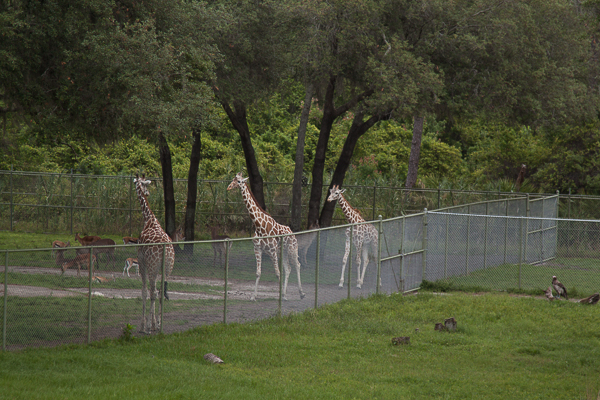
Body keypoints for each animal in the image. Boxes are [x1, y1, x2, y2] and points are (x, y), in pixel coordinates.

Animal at [134, 173, 176, 332]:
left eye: (141, 183)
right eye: (145, 185)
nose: (147, 193)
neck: (149, 219)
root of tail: (165, 250)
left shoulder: (141, 261)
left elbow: (144, 291)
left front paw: (143, 324)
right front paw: (154, 322)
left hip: (152, 266)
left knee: (153, 291)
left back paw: (148, 326)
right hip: (167, 268)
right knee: (160, 292)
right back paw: (158, 324)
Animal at [229, 172, 308, 300]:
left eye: (239, 181)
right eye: (232, 179)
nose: (229, 187)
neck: (259, 226)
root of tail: (292, 232)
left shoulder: (272, 250)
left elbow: (277, 273)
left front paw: (280, 296)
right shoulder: (257, 249)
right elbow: (258, 273)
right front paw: (253, 296)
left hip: (292, 249)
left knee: (297, 265)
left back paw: (301, 293)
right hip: (283, 251)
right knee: (288, 269)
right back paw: (285, 294)